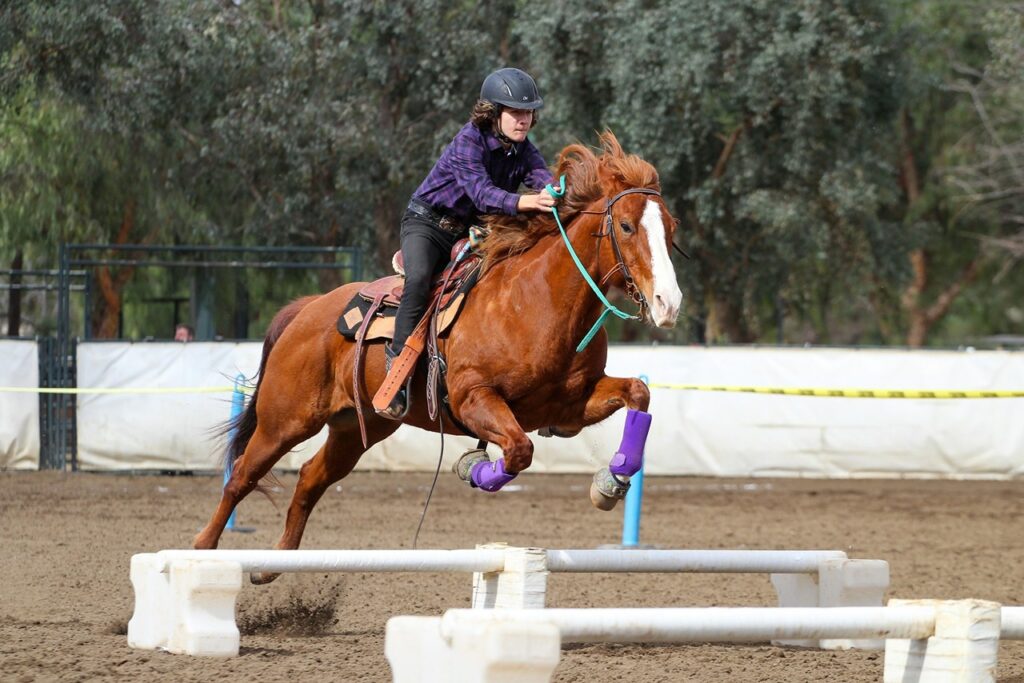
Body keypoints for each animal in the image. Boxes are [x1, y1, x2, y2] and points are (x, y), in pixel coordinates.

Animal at [193, 131, 683, 581]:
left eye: (671, 228)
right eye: (626, 226)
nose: (669, 303)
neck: (534, 301)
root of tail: (307, 309)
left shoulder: (569, 406)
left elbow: (637, 394)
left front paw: (611, 481)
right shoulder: (473, 398)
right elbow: (518, 451)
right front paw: (475, 468)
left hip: (356, 427)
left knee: (310, 478)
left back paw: (272, 564)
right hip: (285, 421)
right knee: (241, 476)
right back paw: (202, 550)